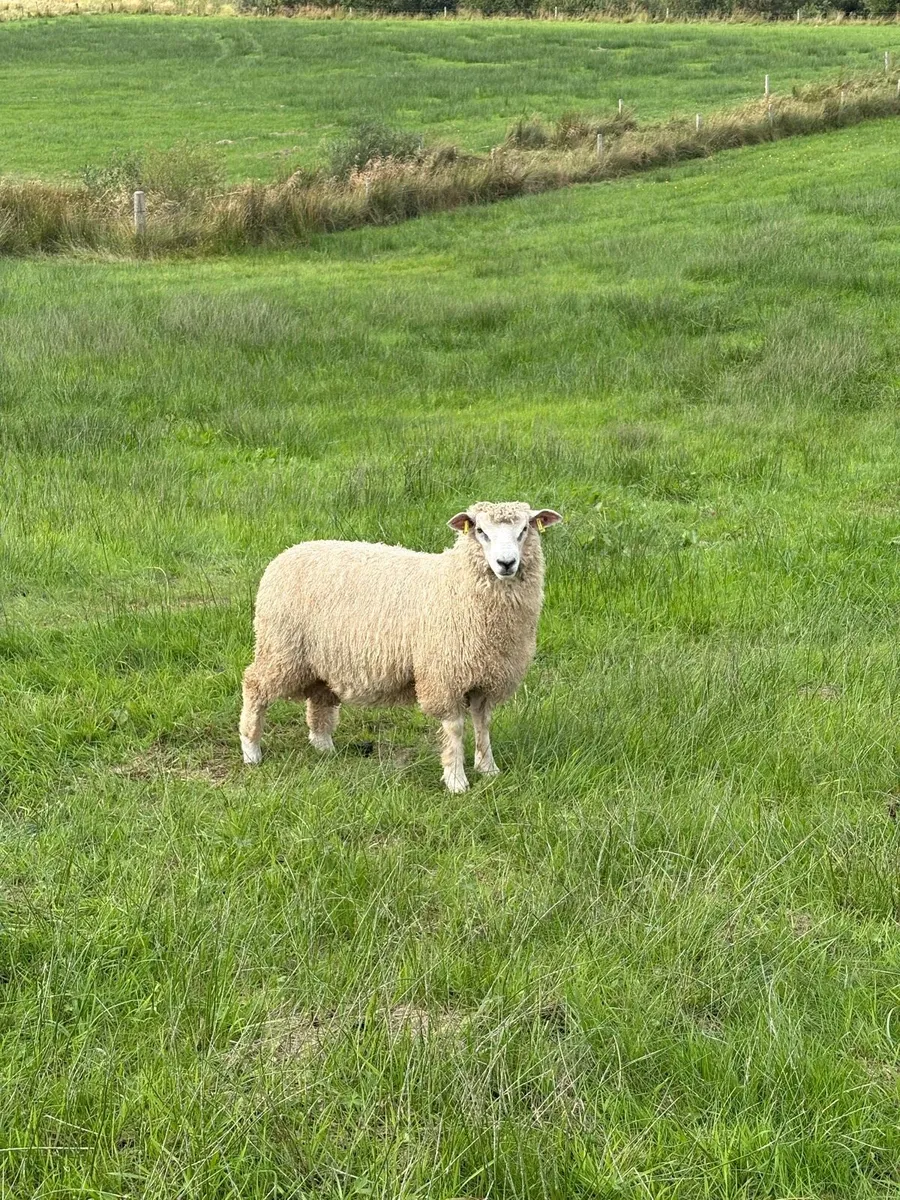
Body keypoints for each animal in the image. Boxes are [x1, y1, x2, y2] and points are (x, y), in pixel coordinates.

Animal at [239, 501, 561, 792]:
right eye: (481, 531)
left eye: (524, 530)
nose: (506, 564)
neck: (457, 584)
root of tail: (288, 552)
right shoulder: (444, 676)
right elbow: (455, 729)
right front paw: (456, 780)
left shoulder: (487, 676)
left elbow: (483, 724)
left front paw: (488, 769)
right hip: (282, 648)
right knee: (254, 685)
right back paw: (251, 750)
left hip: (322, 657)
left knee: (319, 696)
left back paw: (324, 746)